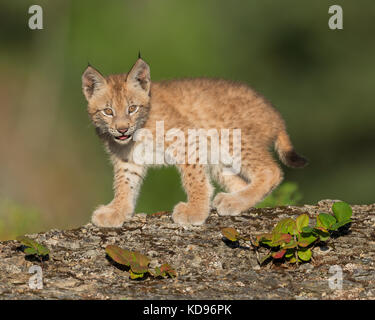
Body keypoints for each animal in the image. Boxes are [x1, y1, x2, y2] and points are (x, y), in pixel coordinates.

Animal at [82, 57, 308, 228]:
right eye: (108, 111)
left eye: (132, 108)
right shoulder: (127, 158)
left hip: (231, 138)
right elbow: (124, 183)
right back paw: (234, 201)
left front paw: (195, 210)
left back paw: (233, 201)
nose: (122, 129)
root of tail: (275, 113)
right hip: (219, 158)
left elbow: (194, 178)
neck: (136, 132)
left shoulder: (186, 139)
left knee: (271, 171)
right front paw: (117, 210)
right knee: (244, 181)